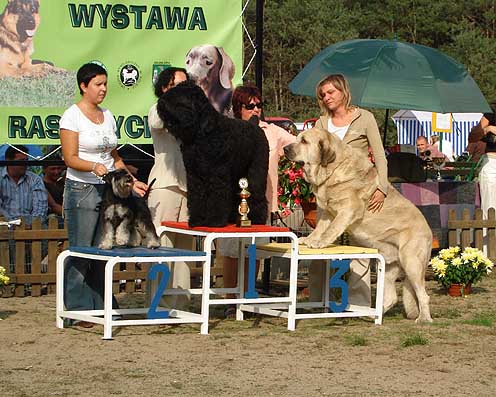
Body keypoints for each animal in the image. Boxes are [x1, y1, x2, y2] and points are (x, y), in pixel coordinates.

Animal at [158, 80, 268, 226]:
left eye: (178, 98)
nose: (160, 104)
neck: (201, 132)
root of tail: (254, 124)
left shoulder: (217, 173)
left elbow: (217, 197)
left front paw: (214, 221)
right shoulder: (194, 175)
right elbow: (196, 196)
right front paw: (197, 220)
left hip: (256, 171)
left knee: (257, 192)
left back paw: (257, 219)